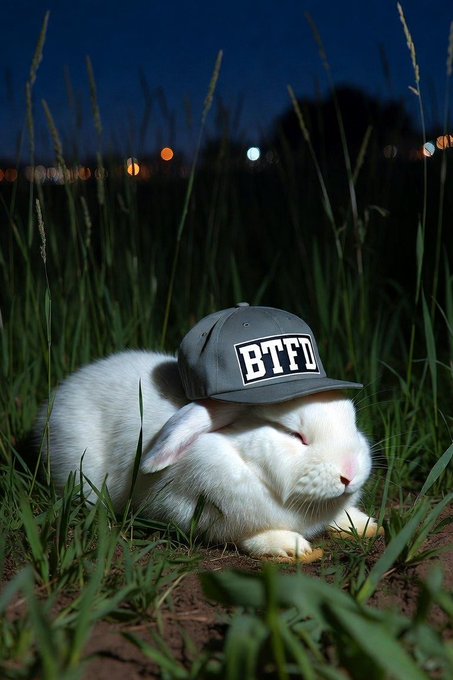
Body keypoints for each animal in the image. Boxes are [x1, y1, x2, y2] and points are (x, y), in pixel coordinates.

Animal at [34, 349, 380, 561]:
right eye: (294, 434)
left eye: (351, 419)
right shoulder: (194, 511)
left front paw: (366, 524)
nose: (349, 473)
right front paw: (290, 546)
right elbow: (249, 535)